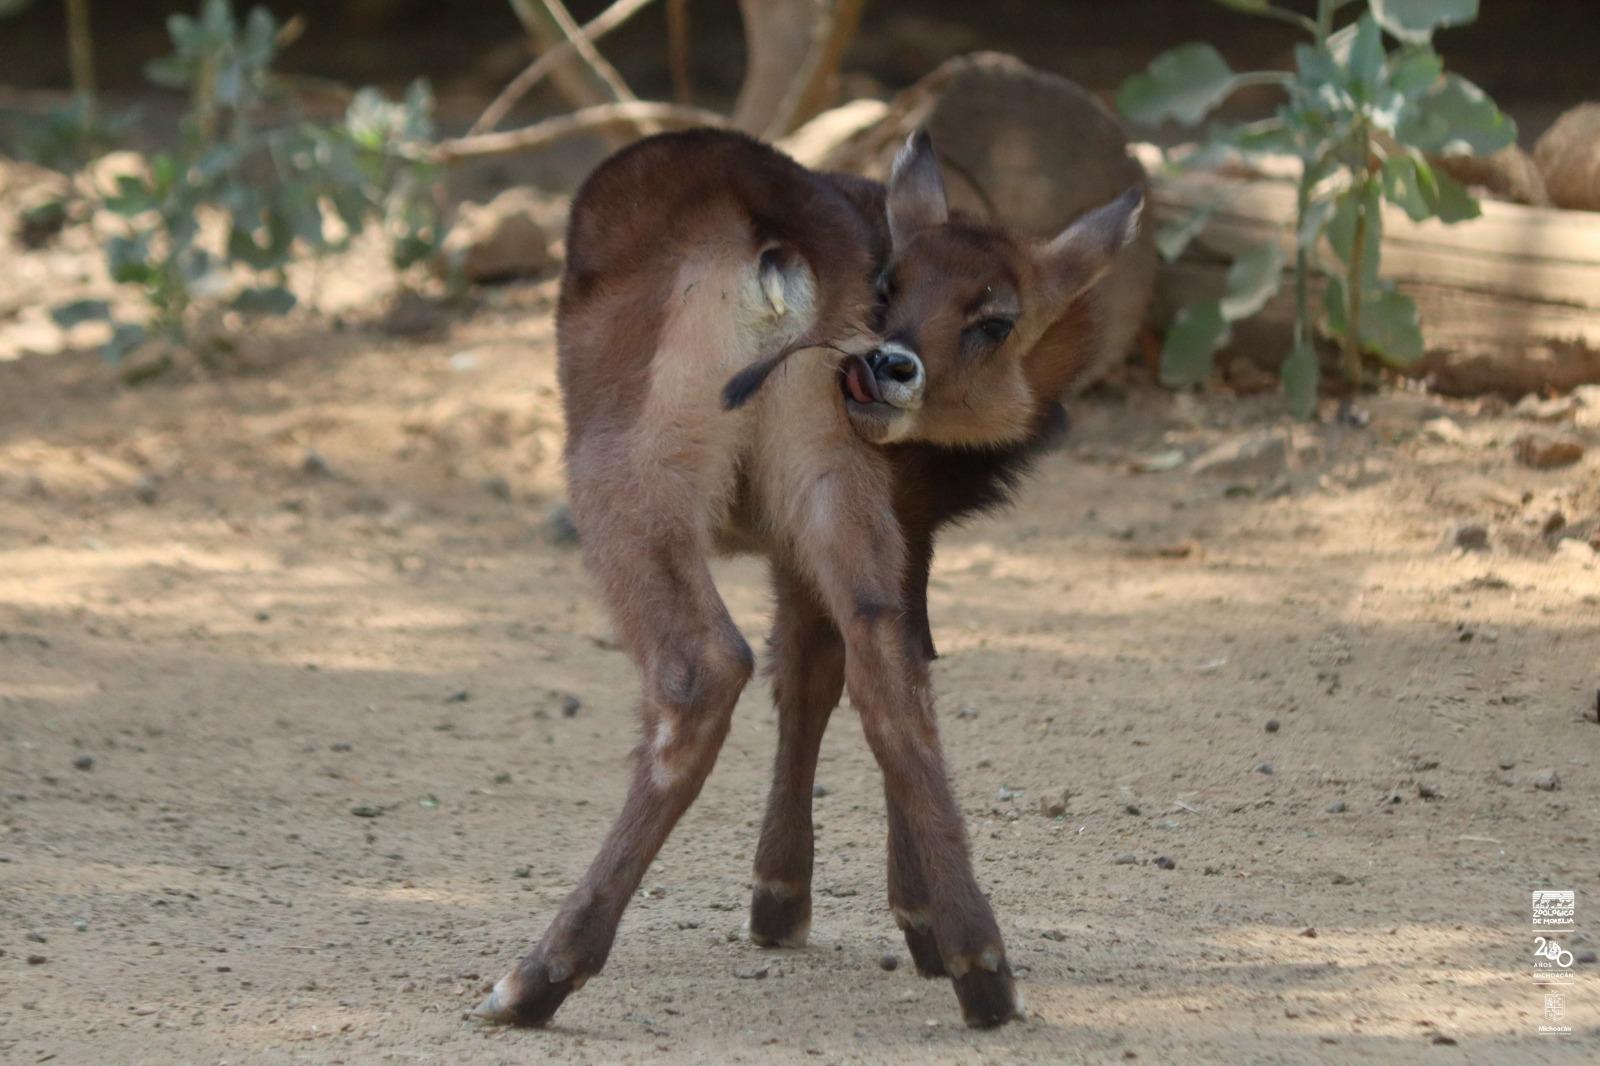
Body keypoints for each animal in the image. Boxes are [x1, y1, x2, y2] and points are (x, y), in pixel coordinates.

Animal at [467, 126, 1145, 1030]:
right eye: (893, 284)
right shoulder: (885, 527)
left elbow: (798, 674)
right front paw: (841, 907)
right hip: (828, 476)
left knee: (704, 668)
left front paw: (789, 902)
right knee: (887, 666)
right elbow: (831, 674)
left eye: (997, 319)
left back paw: (536, 976)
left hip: (627, 475)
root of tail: (773, 228)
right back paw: (983, 969)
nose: (890, 366)